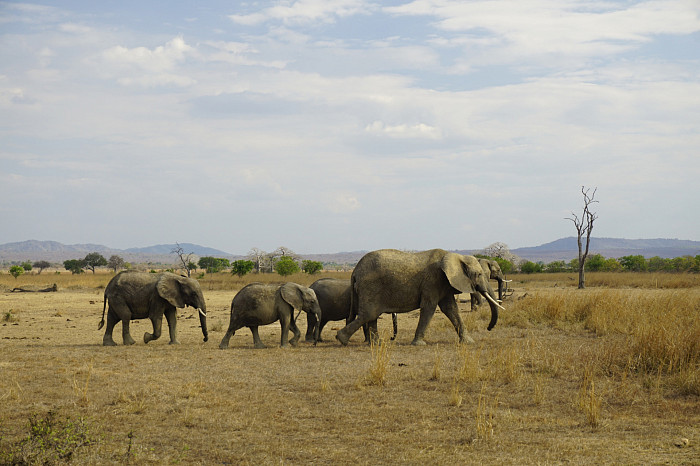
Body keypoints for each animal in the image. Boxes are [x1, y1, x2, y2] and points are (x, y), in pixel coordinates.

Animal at [334, 251, 504, 346]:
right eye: (479, 274)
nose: (489, 328)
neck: (455, 257)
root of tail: (354, 271)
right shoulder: (433, 280)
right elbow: (429, 307)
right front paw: (419, 344)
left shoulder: (444, 283)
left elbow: (451, 309)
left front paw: (468, 342)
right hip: (370, 287)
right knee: (369, 314)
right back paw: (341, 339)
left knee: (371, 316)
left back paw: (377, 343)